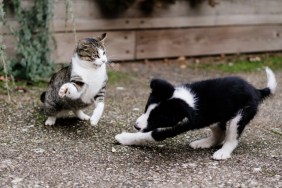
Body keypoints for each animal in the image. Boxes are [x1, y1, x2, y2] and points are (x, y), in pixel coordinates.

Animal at [115, 67, 278, 160]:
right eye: (146, 108)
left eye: (157, 117)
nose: (136, 126)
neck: (185, 100)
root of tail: (256, 90)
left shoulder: (172, 126)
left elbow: (146, 136)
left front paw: (124, 138)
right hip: (214, 117)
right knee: (220, 133)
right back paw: (203, 143)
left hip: (239, 116)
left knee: (231, 137)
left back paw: (223, 153)